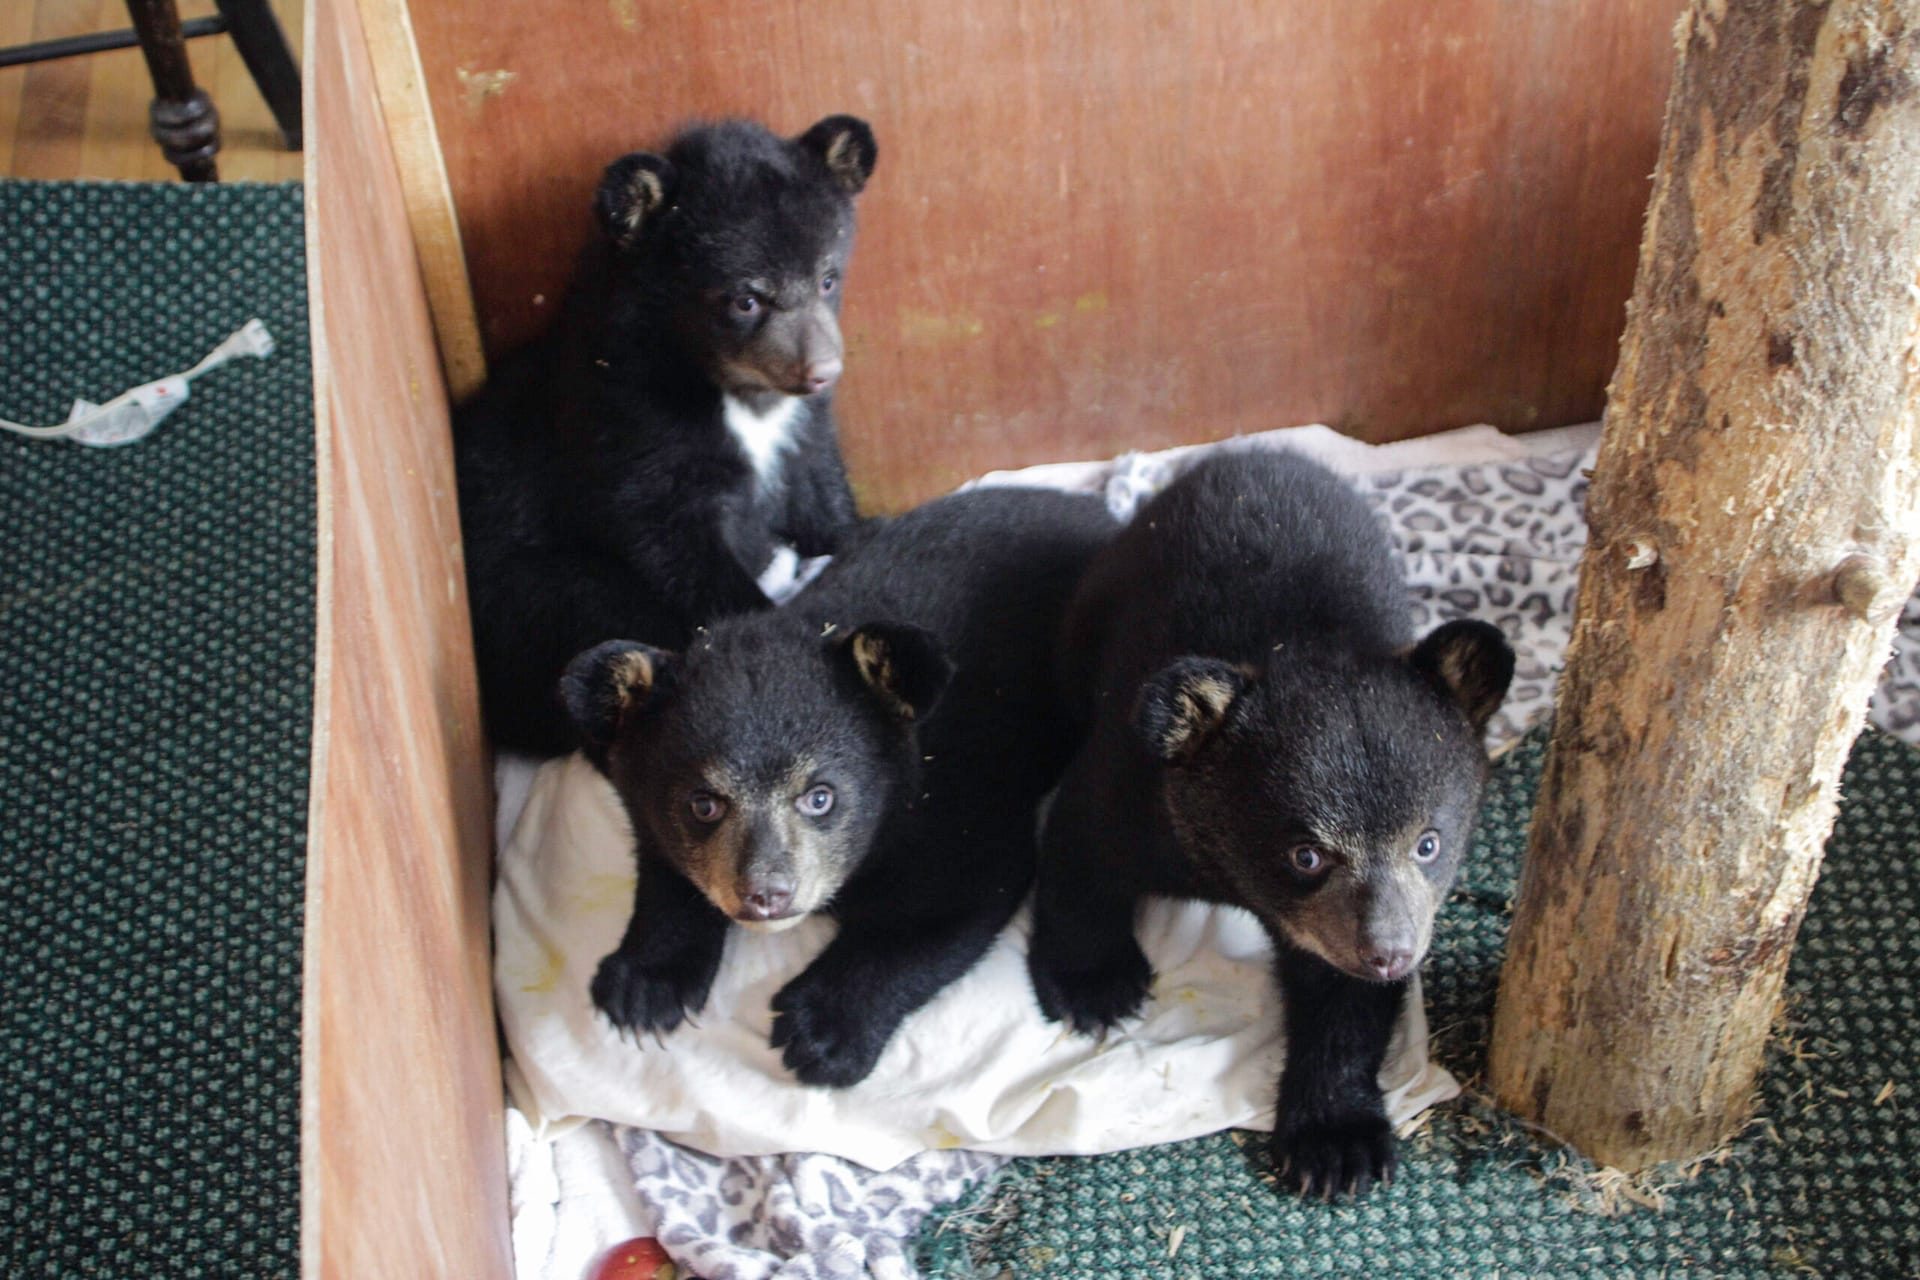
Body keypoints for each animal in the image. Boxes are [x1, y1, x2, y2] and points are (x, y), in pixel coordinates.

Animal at [455, 115, 879, 755]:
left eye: (828, 277)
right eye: (745, 298)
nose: (821, 371)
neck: (734, 394)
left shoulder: (802, 436)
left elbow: (820, 489)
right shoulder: (630, 434)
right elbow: (672, 539)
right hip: (538, 594)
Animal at [561, 486, 1119, 1088]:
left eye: (820, 796)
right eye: (703, 804)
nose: (766, 894)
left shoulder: (953, 800)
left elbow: (960, 897)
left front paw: (821, 1029)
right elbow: (665, 864)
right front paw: (644, 984)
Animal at [1024, 449, 1514, 1197]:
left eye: (1428, 843)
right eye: (1306, 855)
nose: (1390, 953)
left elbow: (1341, 1000)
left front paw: (1335, 1143)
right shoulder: (1139, 787)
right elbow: (1083, 843)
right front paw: (1097, 987)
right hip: (1090, 614)